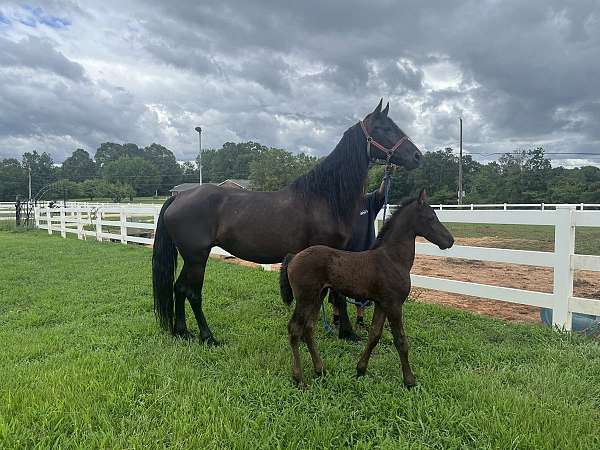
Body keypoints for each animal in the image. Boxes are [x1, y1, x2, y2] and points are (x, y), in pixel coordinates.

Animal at [151, 99, 422, 344]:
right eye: (384, 128)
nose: (418, 156)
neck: (324, 197)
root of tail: (179, 197)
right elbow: (336, 295)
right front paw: (344, 333)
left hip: (191, 257)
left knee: (178, 289)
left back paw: (181, 332)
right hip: (197, 257)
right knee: (192, 292)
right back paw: (208, 337)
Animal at [282, 190, 454, 386]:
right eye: (431, 217)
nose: (450, 240)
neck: (392, 259)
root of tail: (293, 257)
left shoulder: (382, 304)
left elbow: (374, 335)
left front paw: (360, 370)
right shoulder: (394, 304)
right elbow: (401, 340)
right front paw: (410, 381)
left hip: (318, 295)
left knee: (309, 328)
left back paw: (320, 370)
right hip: (305, 298)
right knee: (295, 328)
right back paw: (299, 378)